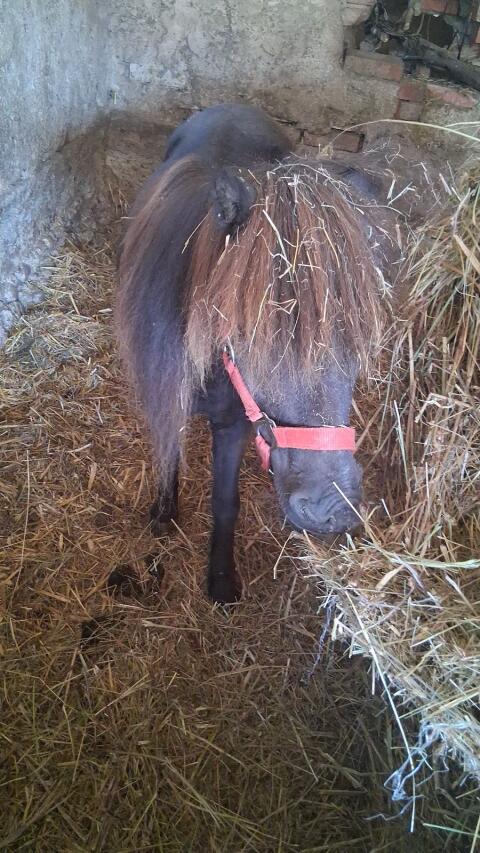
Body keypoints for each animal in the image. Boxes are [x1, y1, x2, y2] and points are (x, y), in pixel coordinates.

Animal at [116, 104, 396, 604]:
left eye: (359, 333)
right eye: (249, 331)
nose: (332, 509)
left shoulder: (234, 425)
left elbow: (226, 501)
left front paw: (221, 579)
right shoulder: (164, 393)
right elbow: (168, 451)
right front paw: (164, 513)